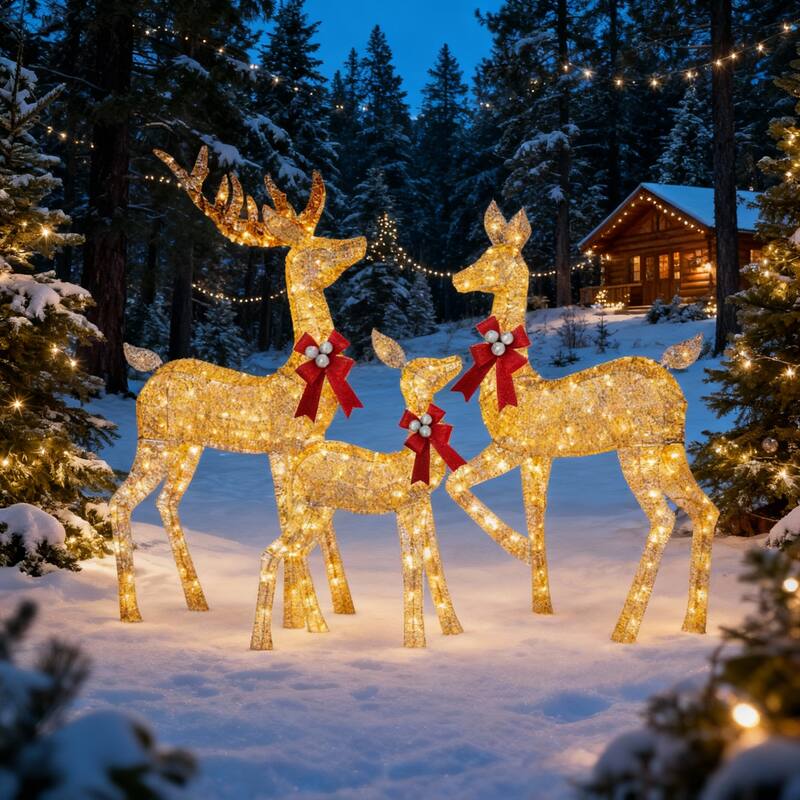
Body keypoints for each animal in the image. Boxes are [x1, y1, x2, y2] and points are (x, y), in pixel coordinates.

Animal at [109, 147, 366, 627]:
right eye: (320, 248)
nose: (358, 242)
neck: (301, 374)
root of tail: (152, 369)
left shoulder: (308, 447)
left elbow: (317, 523)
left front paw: (337, 609)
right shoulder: (281, 446)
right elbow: (288, 520)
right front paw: (301, 619)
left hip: (188, 447)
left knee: (166, 502)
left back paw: (197, 600)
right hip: (154, 440)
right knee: (119, 501)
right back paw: (131, 613)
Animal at [250, 330, 465, 650]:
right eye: (426, 364)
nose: (457, 358)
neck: (412, 458)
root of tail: (299, 463)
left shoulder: (422, 506)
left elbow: (433, 562)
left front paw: (453, 632)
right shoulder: (406, 507)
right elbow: (413, 568)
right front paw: (415, 643)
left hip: (318, 512)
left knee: (293, 554)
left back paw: (316, 628)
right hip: (306, 509)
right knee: (272, 553)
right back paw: (262, 643)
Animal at [445, 201, 719, 643]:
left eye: (490, 257)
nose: (457, 278)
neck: (518, 381)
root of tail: (670, 373)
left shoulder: (515, 447)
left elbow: (458, 485)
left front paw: (519, 550)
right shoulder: (538, 456)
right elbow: (532, 516)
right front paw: (541, 603)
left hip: (638, 452)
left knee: (663, 517)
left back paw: (624, 630)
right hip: (671, 451)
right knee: (705, 510)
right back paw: (692, 625)